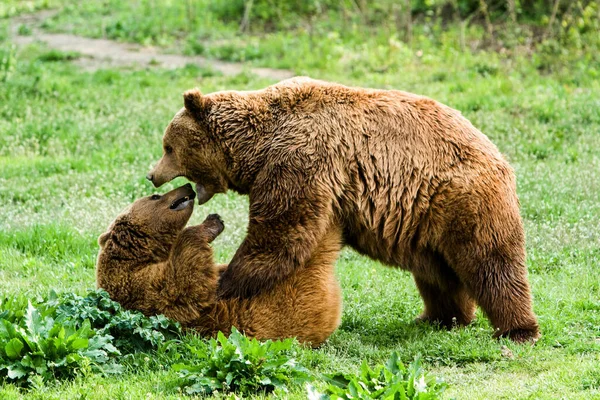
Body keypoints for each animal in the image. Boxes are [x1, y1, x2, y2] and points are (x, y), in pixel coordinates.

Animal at [96, 184, 344, 346]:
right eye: (156, 195)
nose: (187, 186)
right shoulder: (140, 286)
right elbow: (184, 284)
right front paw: (212, 223)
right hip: (292, 305)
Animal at [148, 78, 540, 344]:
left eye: (168, 147)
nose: (152, 174)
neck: (256, 147)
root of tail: (499, 156)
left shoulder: (301, 160)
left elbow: (282, 231)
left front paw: (228, 281)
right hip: (425, 220)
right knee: (439, 274)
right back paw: (440, 318)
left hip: (462, 198)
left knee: (491, 263)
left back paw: (518, 330)